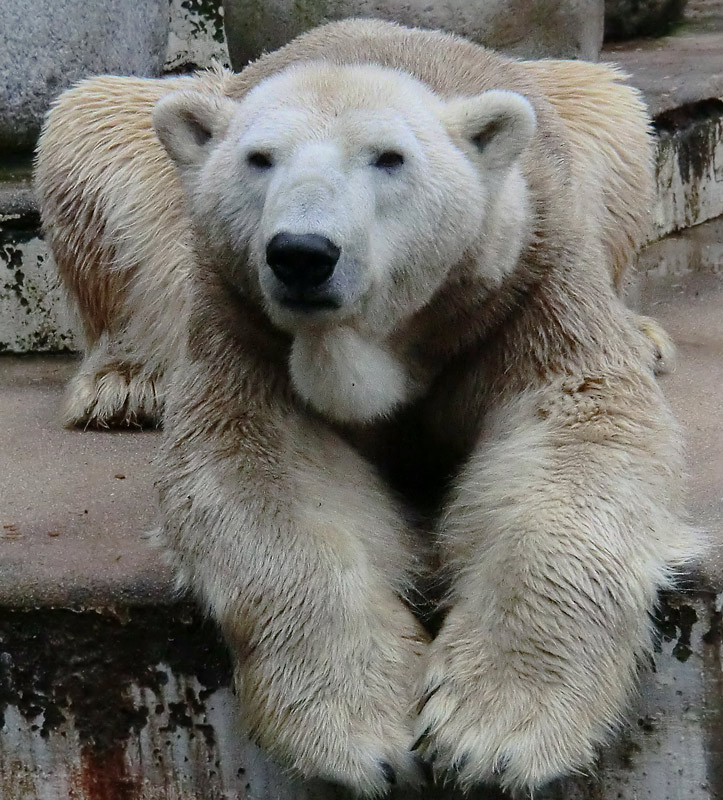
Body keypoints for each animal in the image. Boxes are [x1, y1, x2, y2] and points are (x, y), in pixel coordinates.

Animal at [34, 18, 700, 800]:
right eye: (259, 158)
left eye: (389, 158)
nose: (301, 253)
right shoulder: (244, 322)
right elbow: (261, 471)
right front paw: (366, 733)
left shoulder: (522, 287)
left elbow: (583, 430)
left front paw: (492, 734)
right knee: (89, 125)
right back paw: (125, 383)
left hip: (581, 119)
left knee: (613, 113)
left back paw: (643, 334)